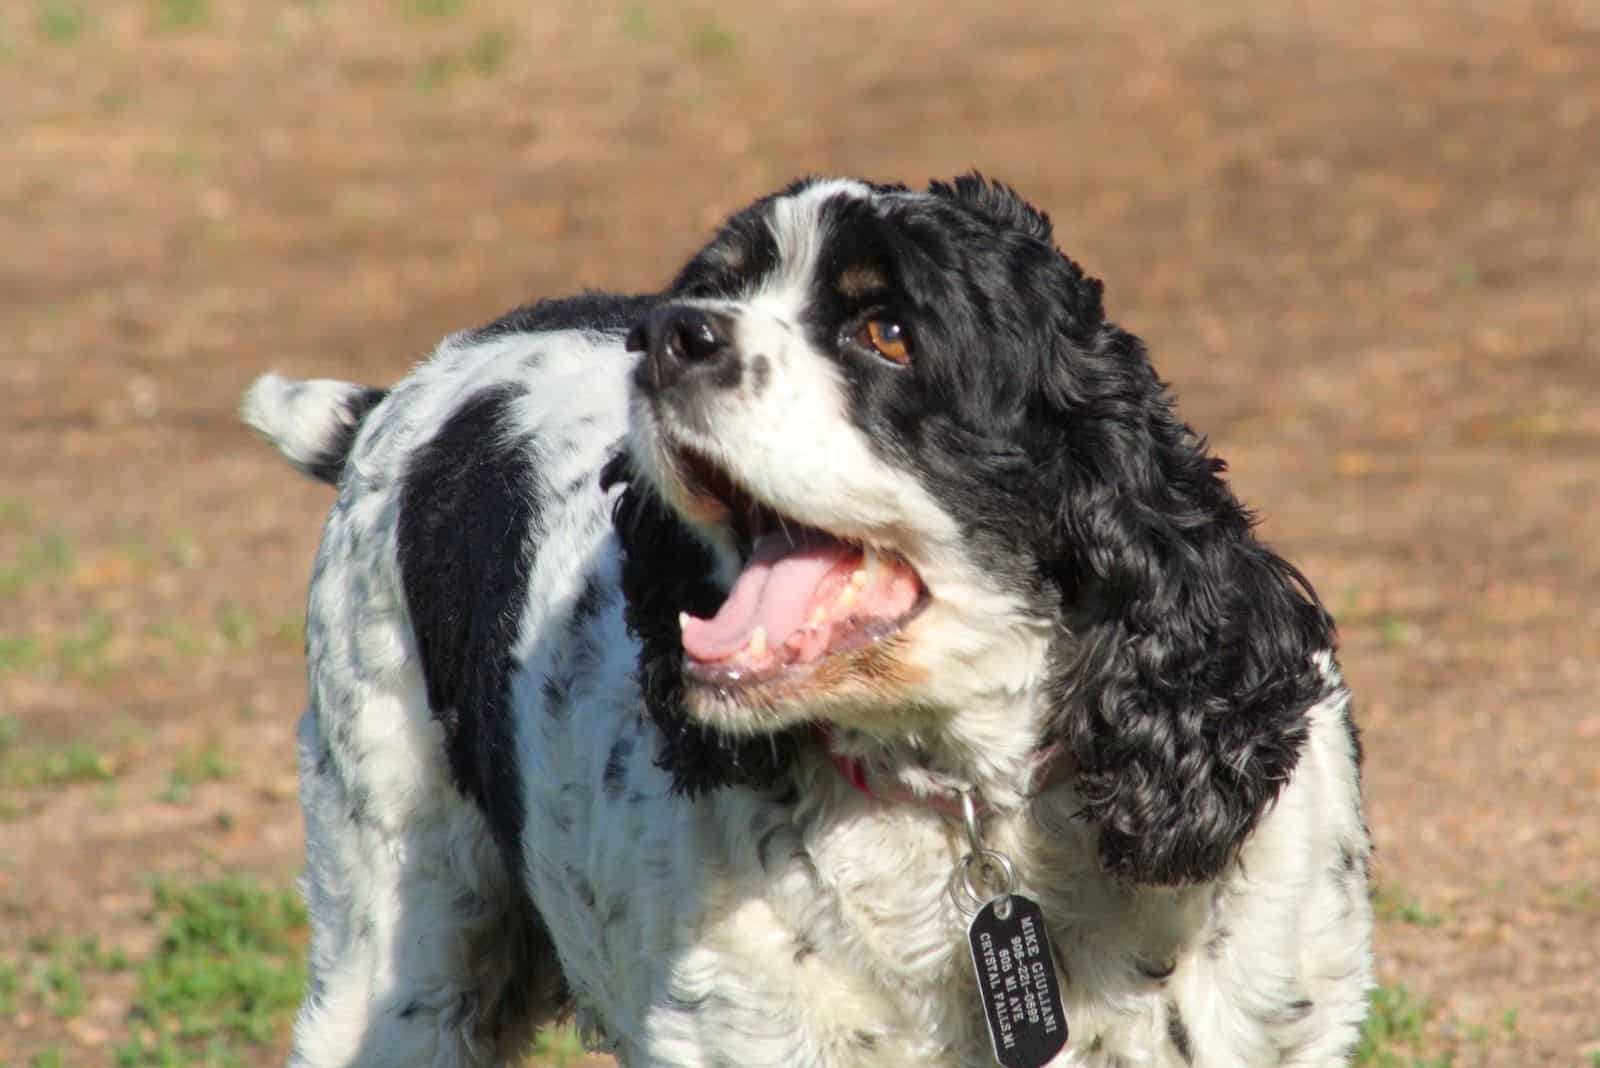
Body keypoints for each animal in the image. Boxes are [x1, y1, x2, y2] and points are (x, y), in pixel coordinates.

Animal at [243, 177, 1369, 1068]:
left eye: (888, 331)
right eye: (718, 286)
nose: (667, 335)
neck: (969, 798)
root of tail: (395, 395)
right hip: (392, 934)